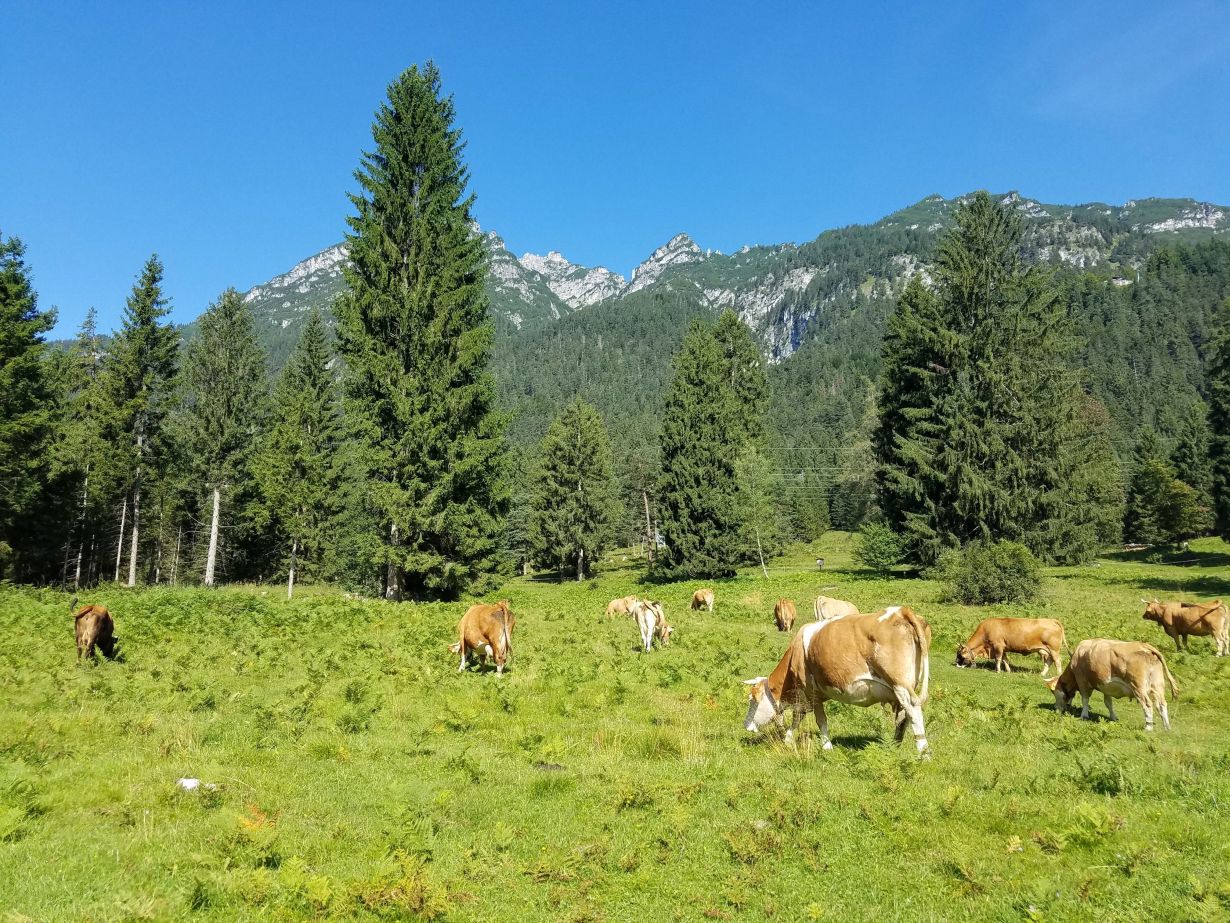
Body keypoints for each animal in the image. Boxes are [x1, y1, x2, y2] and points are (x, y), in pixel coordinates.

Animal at [738, 610, 929, 753]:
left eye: (752, 700)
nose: (745, 724)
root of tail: (901, 611)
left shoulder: (811, 691)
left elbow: (819, 719)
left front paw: (826, 745)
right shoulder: (803, 697)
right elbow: (797, 719)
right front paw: (788, 739)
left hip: (900, 683)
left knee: (913, 709)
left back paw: (923, 752)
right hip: (905, 686)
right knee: (904, 717)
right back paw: (895, 746)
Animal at [1043, 639, 1175, 733]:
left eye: (1054, 692)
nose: (1056, 708)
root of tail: (1145, 646)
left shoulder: (1082, 681)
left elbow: (1085, 699)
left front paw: (1084, 715)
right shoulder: (1106, 687)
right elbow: (1108, 703)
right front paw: (1113, 717)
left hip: (1138, 687)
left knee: (1147, 704)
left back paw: (1148, 727)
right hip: (1158, 685)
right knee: (1162, 704)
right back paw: (1167, 727)